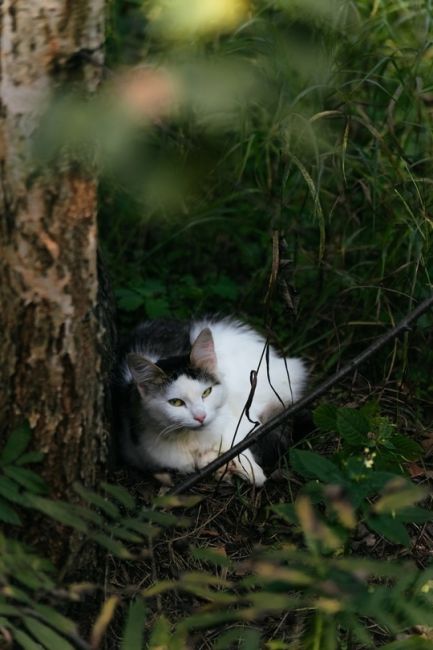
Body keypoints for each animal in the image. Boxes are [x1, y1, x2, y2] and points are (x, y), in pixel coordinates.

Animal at [113, 316, 306, 484]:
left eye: (206, 392)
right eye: (176, 402)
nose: (200, 417)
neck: (192, 440)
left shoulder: (236, 420)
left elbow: (238, 444)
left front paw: (251, 471)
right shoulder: (135, 450)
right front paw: (214, 463)